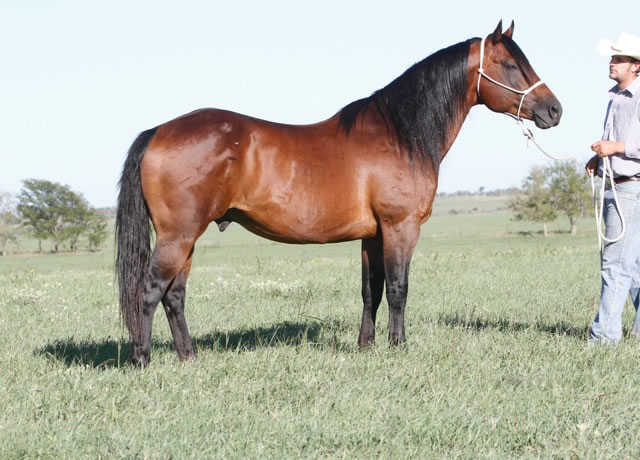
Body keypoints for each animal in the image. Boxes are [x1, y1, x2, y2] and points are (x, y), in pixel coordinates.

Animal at [116, 20, 562, 366]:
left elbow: (372, 291)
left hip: (187, 238)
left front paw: (366, 346)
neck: (400, 134)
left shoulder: (372, 235)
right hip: (178, 236)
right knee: (149, 291)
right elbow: (398, 289)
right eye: (510, 64)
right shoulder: (400, 228)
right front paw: (399, 347)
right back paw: (143, 360)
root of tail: (158, 131)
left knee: (175, 295)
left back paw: (189, 356)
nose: (554, 110)